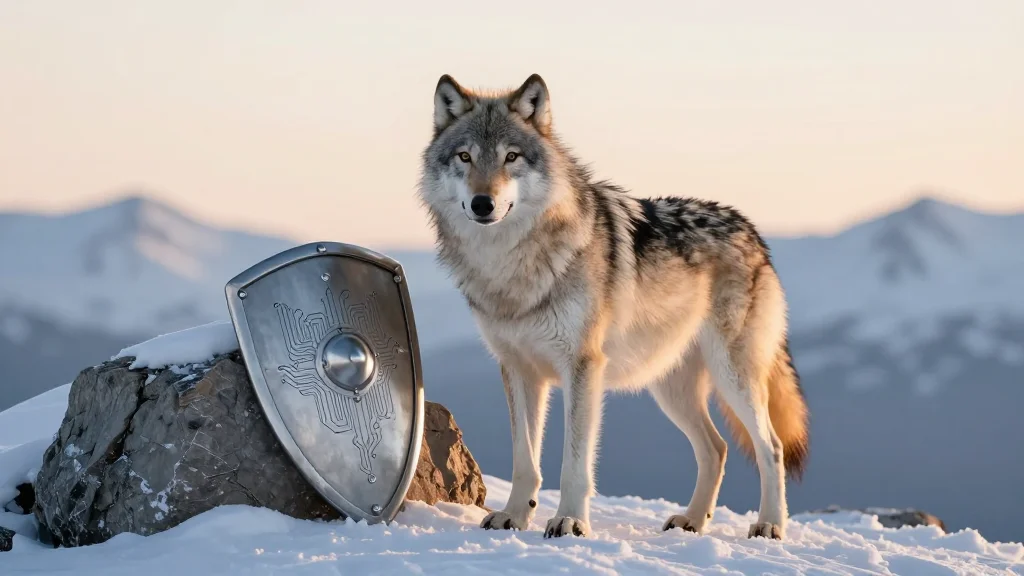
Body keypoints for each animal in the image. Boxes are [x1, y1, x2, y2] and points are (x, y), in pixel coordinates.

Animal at [417, 74, 809, 540]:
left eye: (510, 157)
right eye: (465, 156)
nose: (483, 203)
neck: (510, 266)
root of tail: (752, 231)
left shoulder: (583, 367)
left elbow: (574, 464)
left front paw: (569, 521)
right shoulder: (519, 370)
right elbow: (524, 461)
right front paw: (513, 516)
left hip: (733, 378)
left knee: (772, 446)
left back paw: (769, 524)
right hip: (671, 390)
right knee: (717, 448)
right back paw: (692, 521)